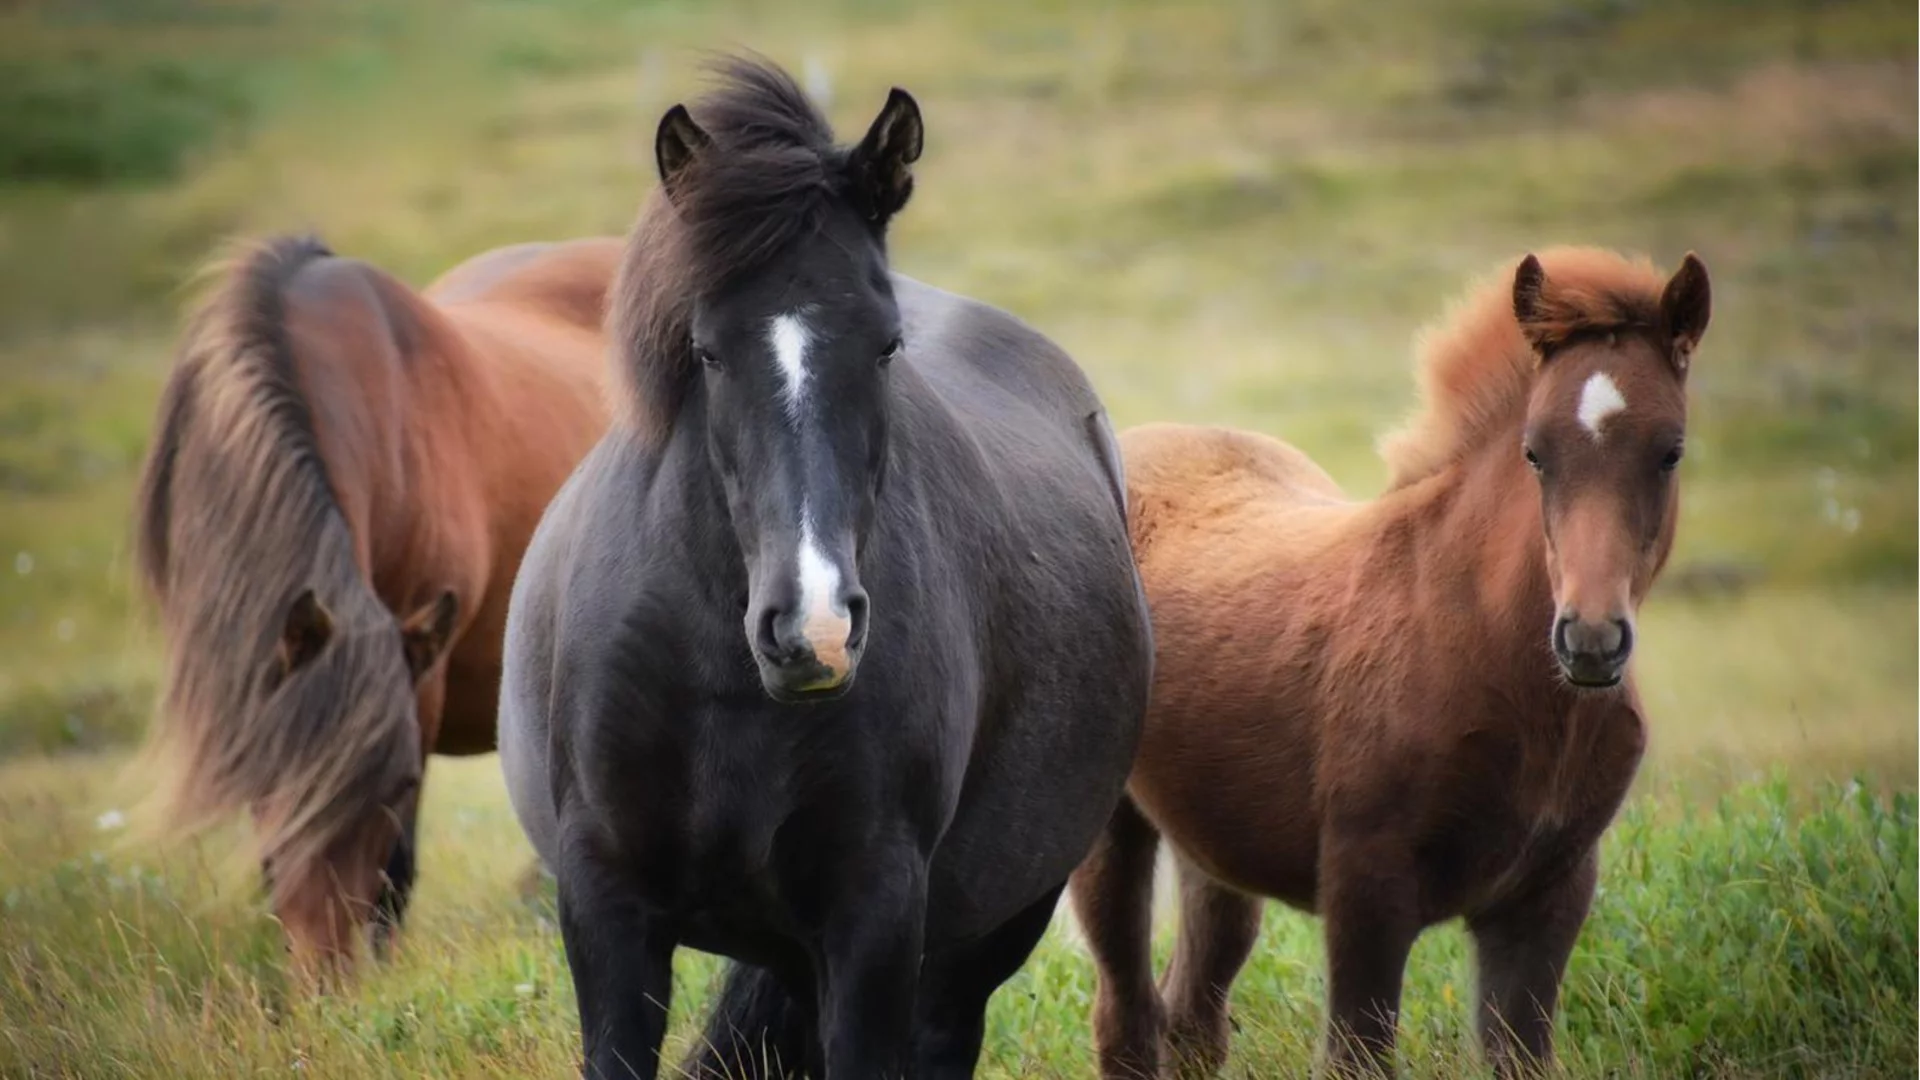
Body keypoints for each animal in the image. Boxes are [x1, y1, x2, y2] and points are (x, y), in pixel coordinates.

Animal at [499, 61, 1152, 1076]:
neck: (722, 682)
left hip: (983, 937)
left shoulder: (873, 919)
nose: (814, 631)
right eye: (706, 349)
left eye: (885, 344)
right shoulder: (606, 906)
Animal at [1075, 247, 1720, 1068]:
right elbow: (1357, 1051)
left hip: (1212, 845)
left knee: (1193, 1016)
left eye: (1670, 452)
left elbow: (1518, 1052)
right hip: (1109, 830)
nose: (1590, 641)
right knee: (1124, 1014)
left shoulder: (1548, 897)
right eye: (1534, 452)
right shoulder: (1366, 889)